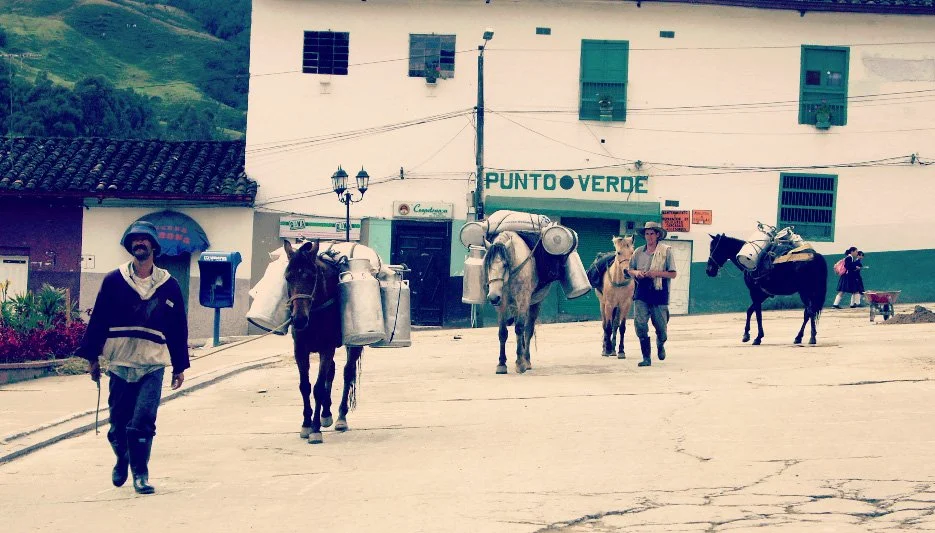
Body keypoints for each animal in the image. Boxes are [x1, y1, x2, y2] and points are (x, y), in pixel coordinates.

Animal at [283, 239, 362, 444]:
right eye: (287, 277)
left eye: (312, 277)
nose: (299, 319)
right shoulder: (300, 349)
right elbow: (305, 386)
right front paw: (306, 424)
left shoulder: (327, 347)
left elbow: (318, 388)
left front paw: (315, 429)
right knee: (332, 371)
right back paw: (326, 413)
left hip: (353, 345)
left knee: (347, 373)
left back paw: (341, 417)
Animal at [484, 230, 542, 374]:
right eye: (487, 265)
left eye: (505, 265)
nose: (493, 297)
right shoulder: (502, 303)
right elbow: (502, 332)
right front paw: (501, 363)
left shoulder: (523, 300)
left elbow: (520, 329)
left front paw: (520, 363)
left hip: (534, 303)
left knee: (528, 329)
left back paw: (526, 360)